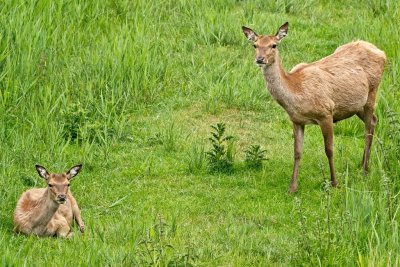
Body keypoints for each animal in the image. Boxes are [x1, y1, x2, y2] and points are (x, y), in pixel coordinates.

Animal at [242, 21, 386, 193]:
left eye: (274, 45)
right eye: (255, 45)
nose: (260, 59)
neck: (296, 92)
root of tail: (381, 52)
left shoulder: (326, 112)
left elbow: (329, 150)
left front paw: (334, 183)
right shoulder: (296, 120)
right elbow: (297, 152)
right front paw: (292, 187)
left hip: (372, 92)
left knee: (368, 129)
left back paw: (364, 170)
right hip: (357, 105)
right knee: (373, 121)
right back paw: (362, 164)